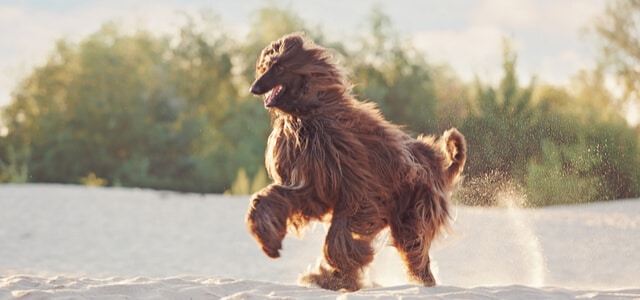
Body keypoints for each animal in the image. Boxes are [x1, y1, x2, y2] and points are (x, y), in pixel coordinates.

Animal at [245, 32, 464, 290]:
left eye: (279, 67)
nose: (254, 88)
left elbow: (341, 236)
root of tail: (439, 167)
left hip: (414, 212)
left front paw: (334, 277)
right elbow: (271, 197)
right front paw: (268, 240)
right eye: (265, 66)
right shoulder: (312, 185)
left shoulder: (358, 192)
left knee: (415, 251)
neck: (307, 114)